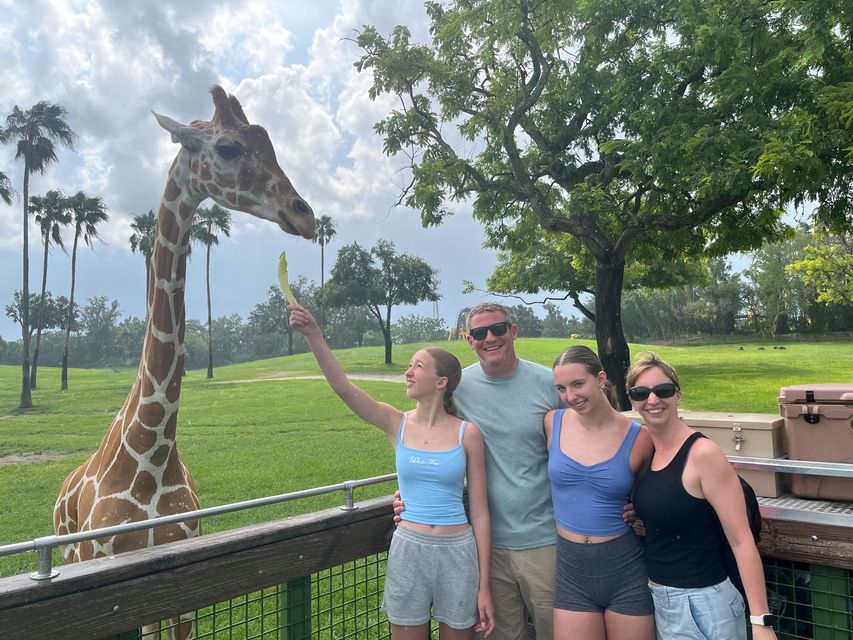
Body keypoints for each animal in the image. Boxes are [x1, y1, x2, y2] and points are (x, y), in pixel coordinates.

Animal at [52, 84, 312, 636]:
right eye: (229, 148)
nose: (304, 214)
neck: (151, 453)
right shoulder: (108, 575)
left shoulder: (182, 582)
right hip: (71, 554)